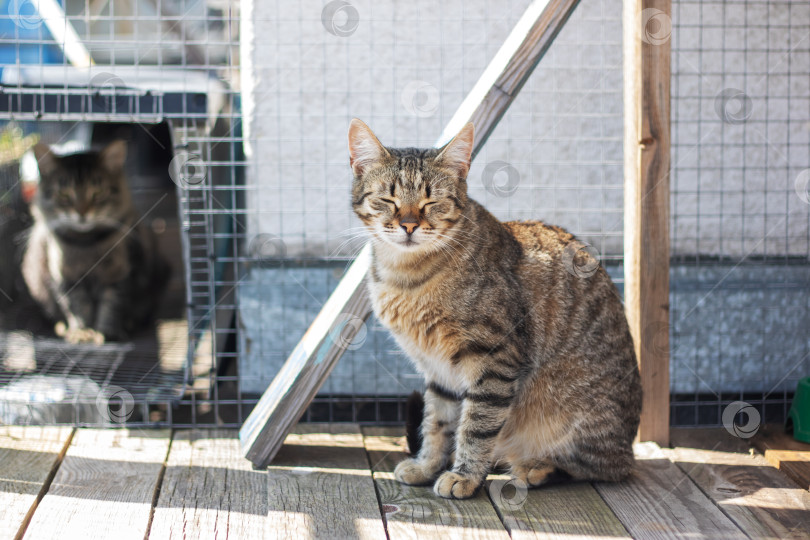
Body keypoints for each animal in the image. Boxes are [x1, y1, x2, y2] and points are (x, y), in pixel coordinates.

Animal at [22, 139, 167, 342]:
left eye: (98, 193)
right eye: (64, 195)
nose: (82, 213)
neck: (86, 243)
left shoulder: (119, 274)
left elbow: (112, 305)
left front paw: (107, 332)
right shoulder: (65, 278)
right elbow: (77, 308)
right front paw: (82, 332)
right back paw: (63, 328)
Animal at [350, 120, 640, 500]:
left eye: (432, 201)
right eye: (387, 199)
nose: (409, 225)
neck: (407, 276)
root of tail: (628, 445)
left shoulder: (494, 358)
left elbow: (476, 425)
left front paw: (465, 475)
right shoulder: (438, 369)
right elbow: (437, 421)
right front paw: (427, 465)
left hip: (577, 418)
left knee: (600, 467)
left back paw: (535, 467)